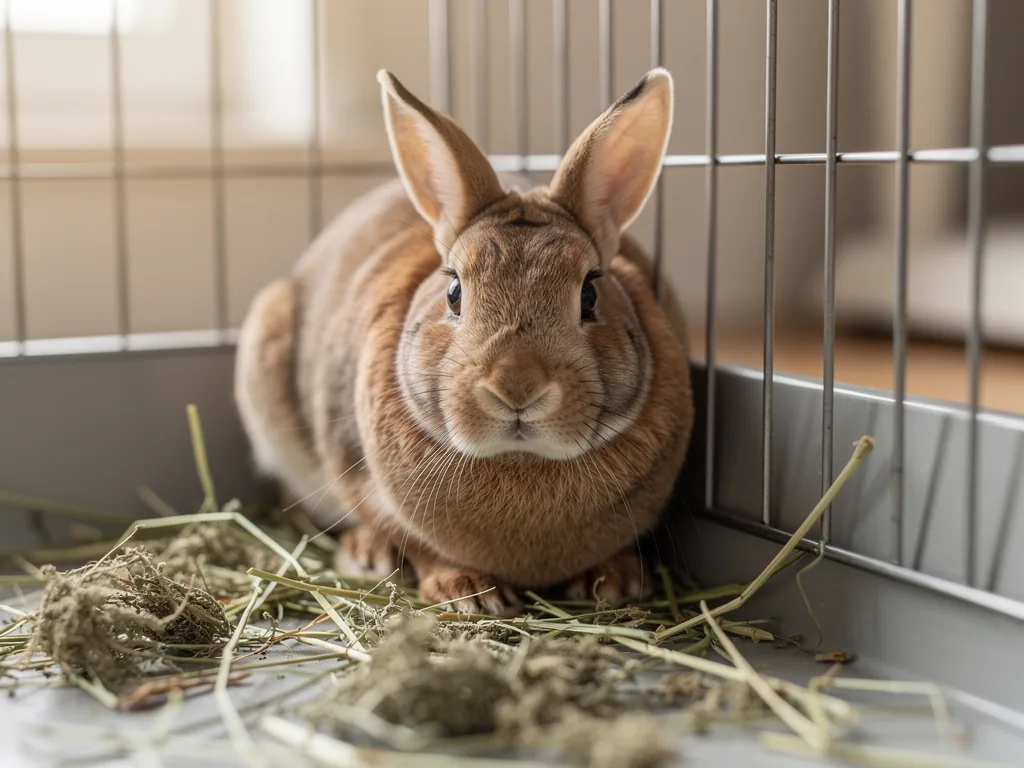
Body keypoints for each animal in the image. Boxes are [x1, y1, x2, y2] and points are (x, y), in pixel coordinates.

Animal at [234, 66, 694, 617]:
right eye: (454, 291)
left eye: (590, 293)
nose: (516, 387)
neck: (520, 460)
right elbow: (414, 542)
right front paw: (468, 592)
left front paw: (617, 582)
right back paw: (367, 553)